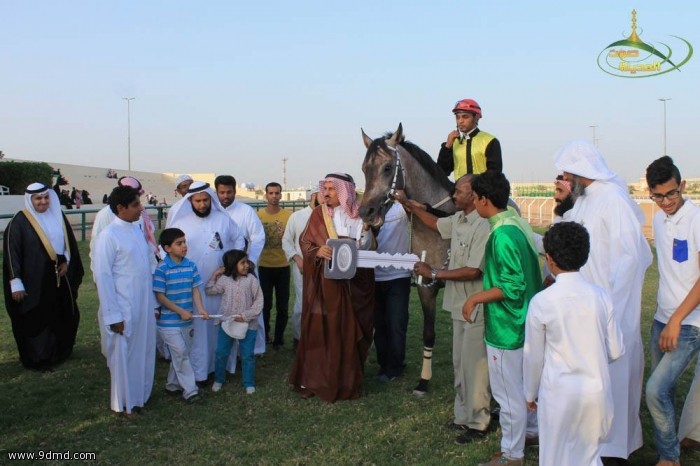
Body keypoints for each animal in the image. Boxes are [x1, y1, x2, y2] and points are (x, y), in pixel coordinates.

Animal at [358, 123, 456, 394]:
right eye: (364, 169)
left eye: (387, 167)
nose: (366, 212)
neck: (439, 226)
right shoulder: (426, 287)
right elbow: (428, 333)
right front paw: (423, 381)